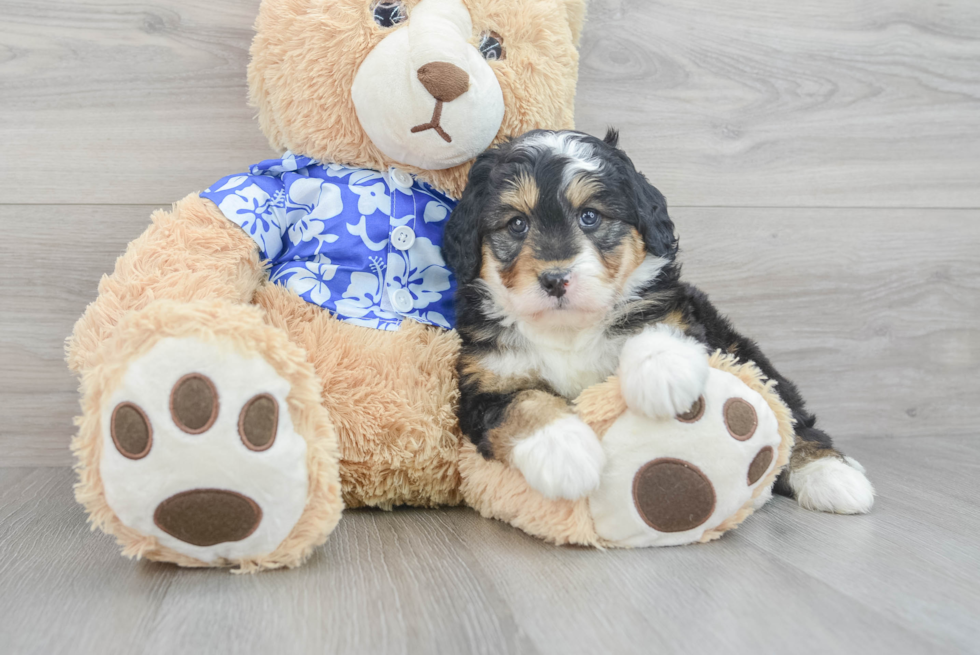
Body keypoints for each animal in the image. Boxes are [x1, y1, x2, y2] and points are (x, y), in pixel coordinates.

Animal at [442, 131, 872, 516]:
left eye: (589, 217)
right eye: (517, 224)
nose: (555, 279)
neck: (569, 330)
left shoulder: (671, 311)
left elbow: (653, 328)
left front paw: (662, 377)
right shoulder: (485, 384)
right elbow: (523, 403)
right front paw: (565, 452)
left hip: (743, 350)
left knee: (791, 413)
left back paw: (832, 475)